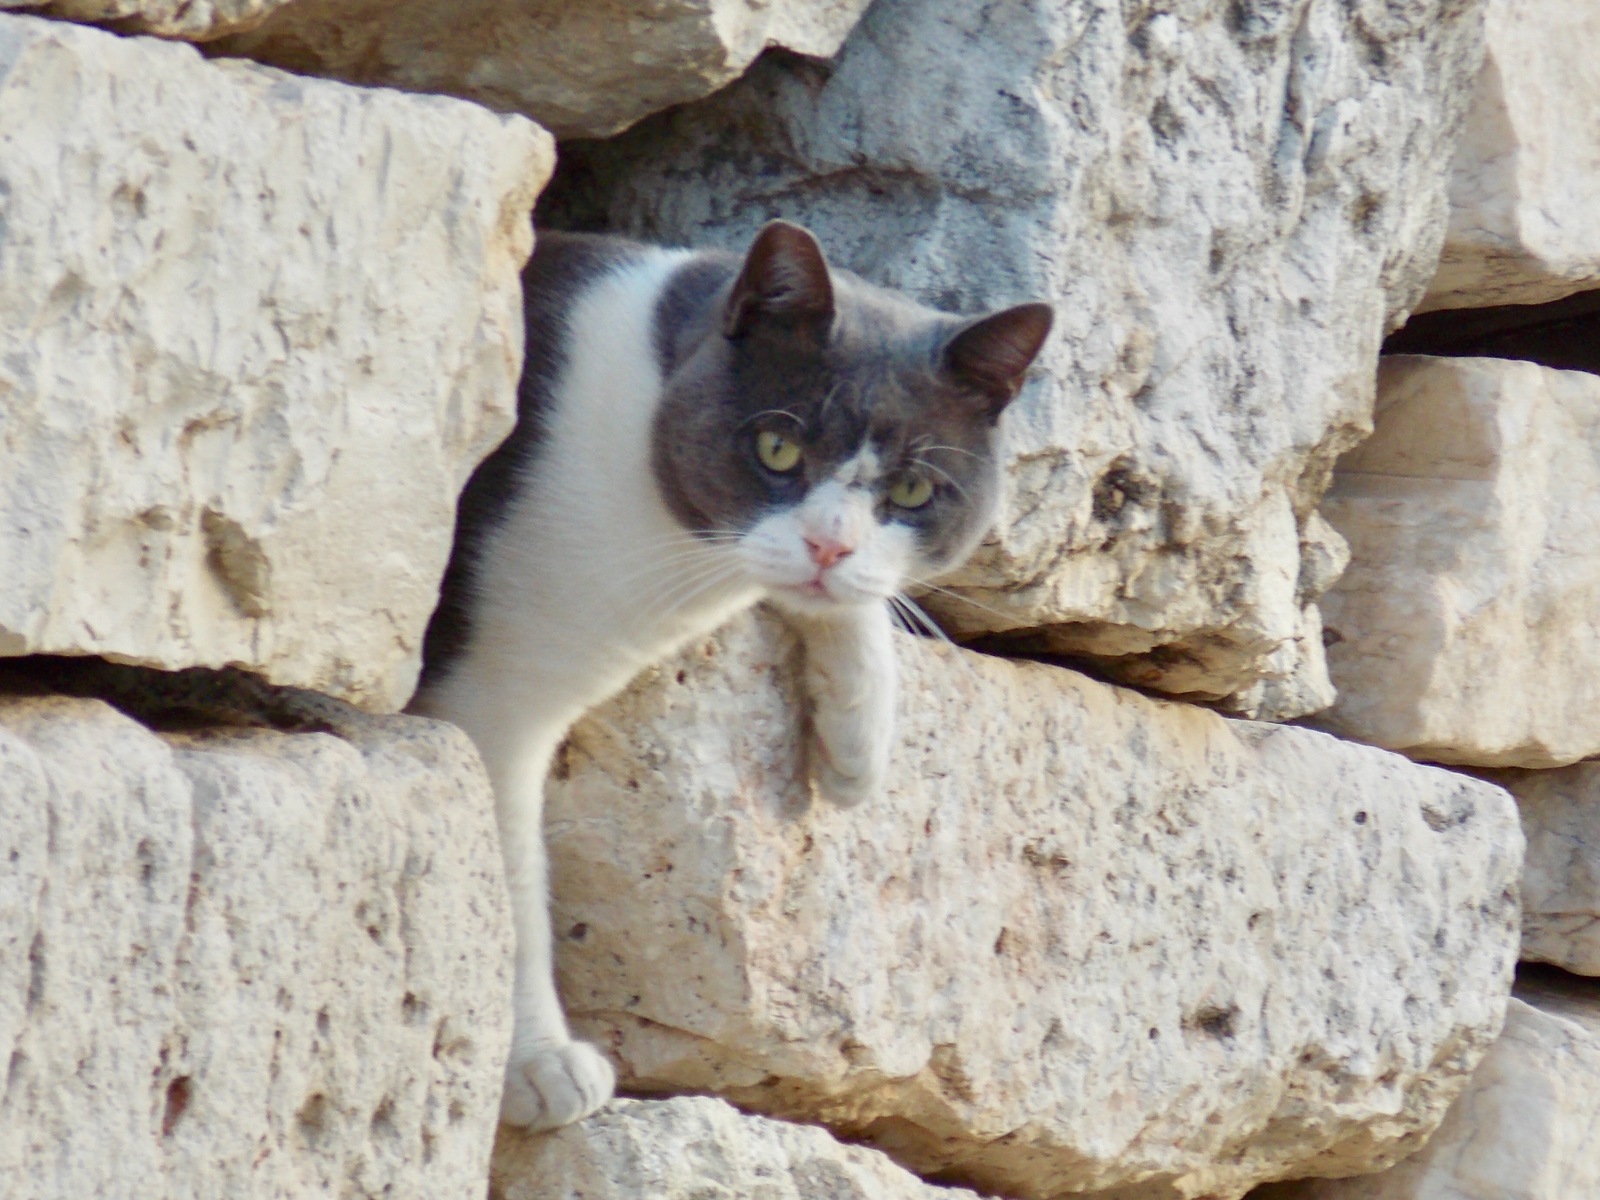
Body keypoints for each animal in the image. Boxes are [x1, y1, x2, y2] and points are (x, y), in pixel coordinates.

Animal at [416, 220, 1049, 1132]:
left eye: (911, 489)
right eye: (777, 448)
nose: (829, 545)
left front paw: (859, 738)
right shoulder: (489, 698)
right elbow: (505, 879)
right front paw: (535, 1064)